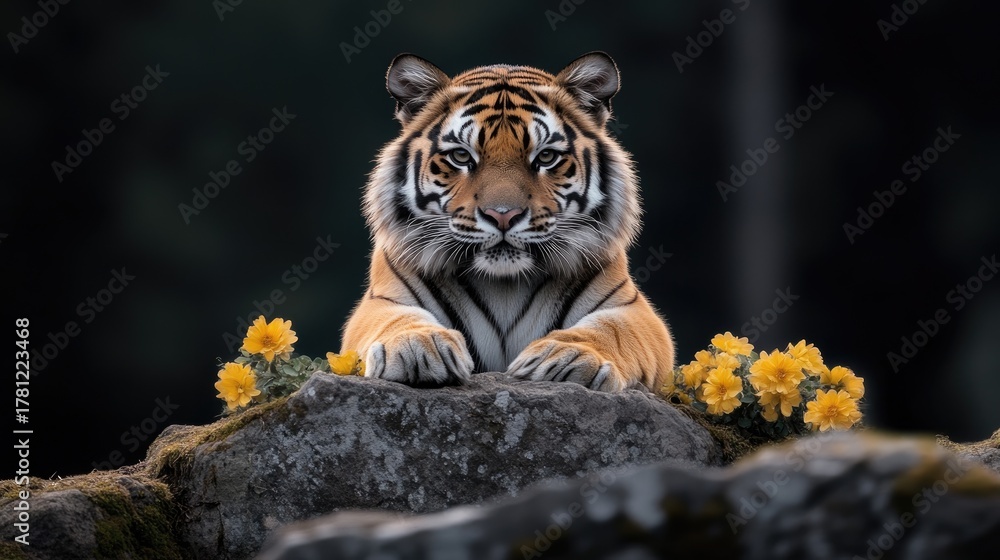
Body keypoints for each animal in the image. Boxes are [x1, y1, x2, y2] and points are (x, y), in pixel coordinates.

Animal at [341, 52, 675, 393]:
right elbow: (396, 319)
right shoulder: (382, 300)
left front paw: (567, 357)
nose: (503, 215)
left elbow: (612, 330)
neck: (504, 285)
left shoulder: (632, 310)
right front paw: (417, 347)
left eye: (546, 157)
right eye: (461, 157)